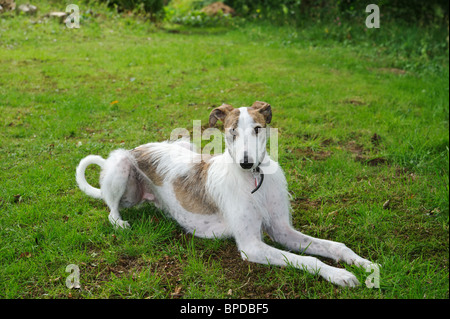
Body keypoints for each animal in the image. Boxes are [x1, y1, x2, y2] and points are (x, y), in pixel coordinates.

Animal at [76, 102, 376, 288]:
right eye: (232, 132)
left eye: (257, 128)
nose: (246, 162)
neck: (255, 179)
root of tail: (140, 146)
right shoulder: (251, 245)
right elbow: (308, 259)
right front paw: (338, 275)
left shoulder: (282, 230)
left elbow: (334, 247)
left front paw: (363, 264)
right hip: (121, 166)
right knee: (111, 209)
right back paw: (120, 222)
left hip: (185, 145)